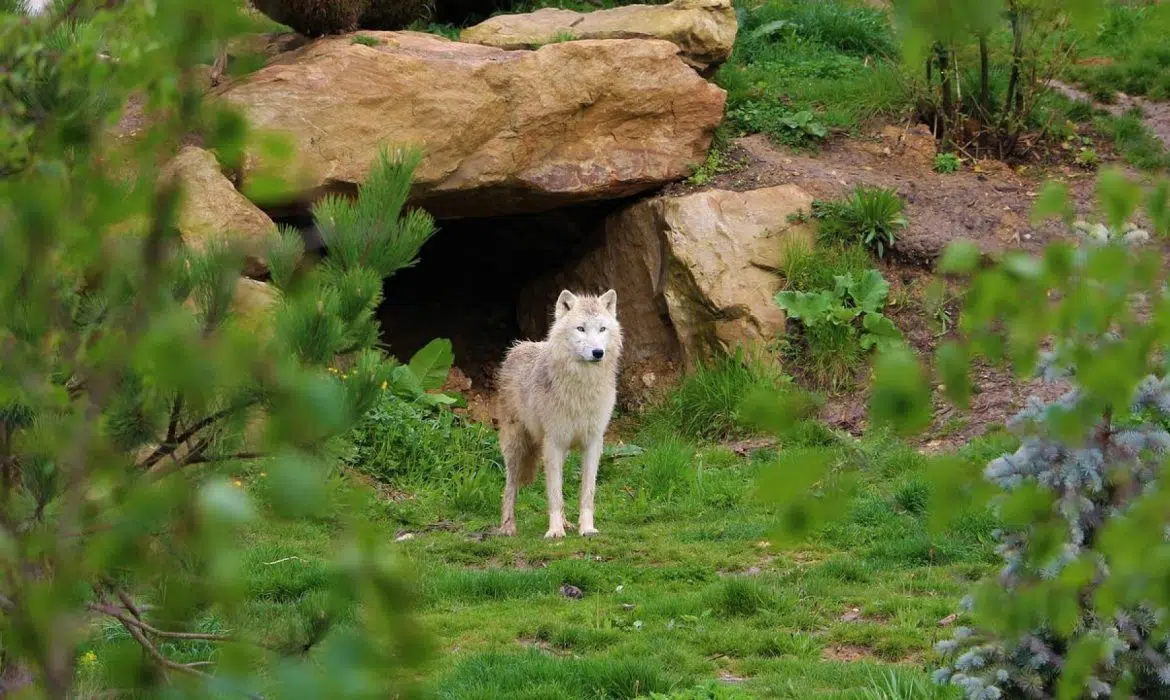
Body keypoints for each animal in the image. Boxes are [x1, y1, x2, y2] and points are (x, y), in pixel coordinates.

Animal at [493, 287, 622, 540]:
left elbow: (587, 493)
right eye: (581, 328)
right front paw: (554, 531)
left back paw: (567, 523)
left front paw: (586, 528)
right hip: (517, 447)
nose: (598, 352)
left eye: (602, 329)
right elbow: (554, 493)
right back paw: (508, 527)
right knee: (510, 487)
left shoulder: (593, 443)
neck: (583, 386)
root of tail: (519, 346)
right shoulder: (553, 443)